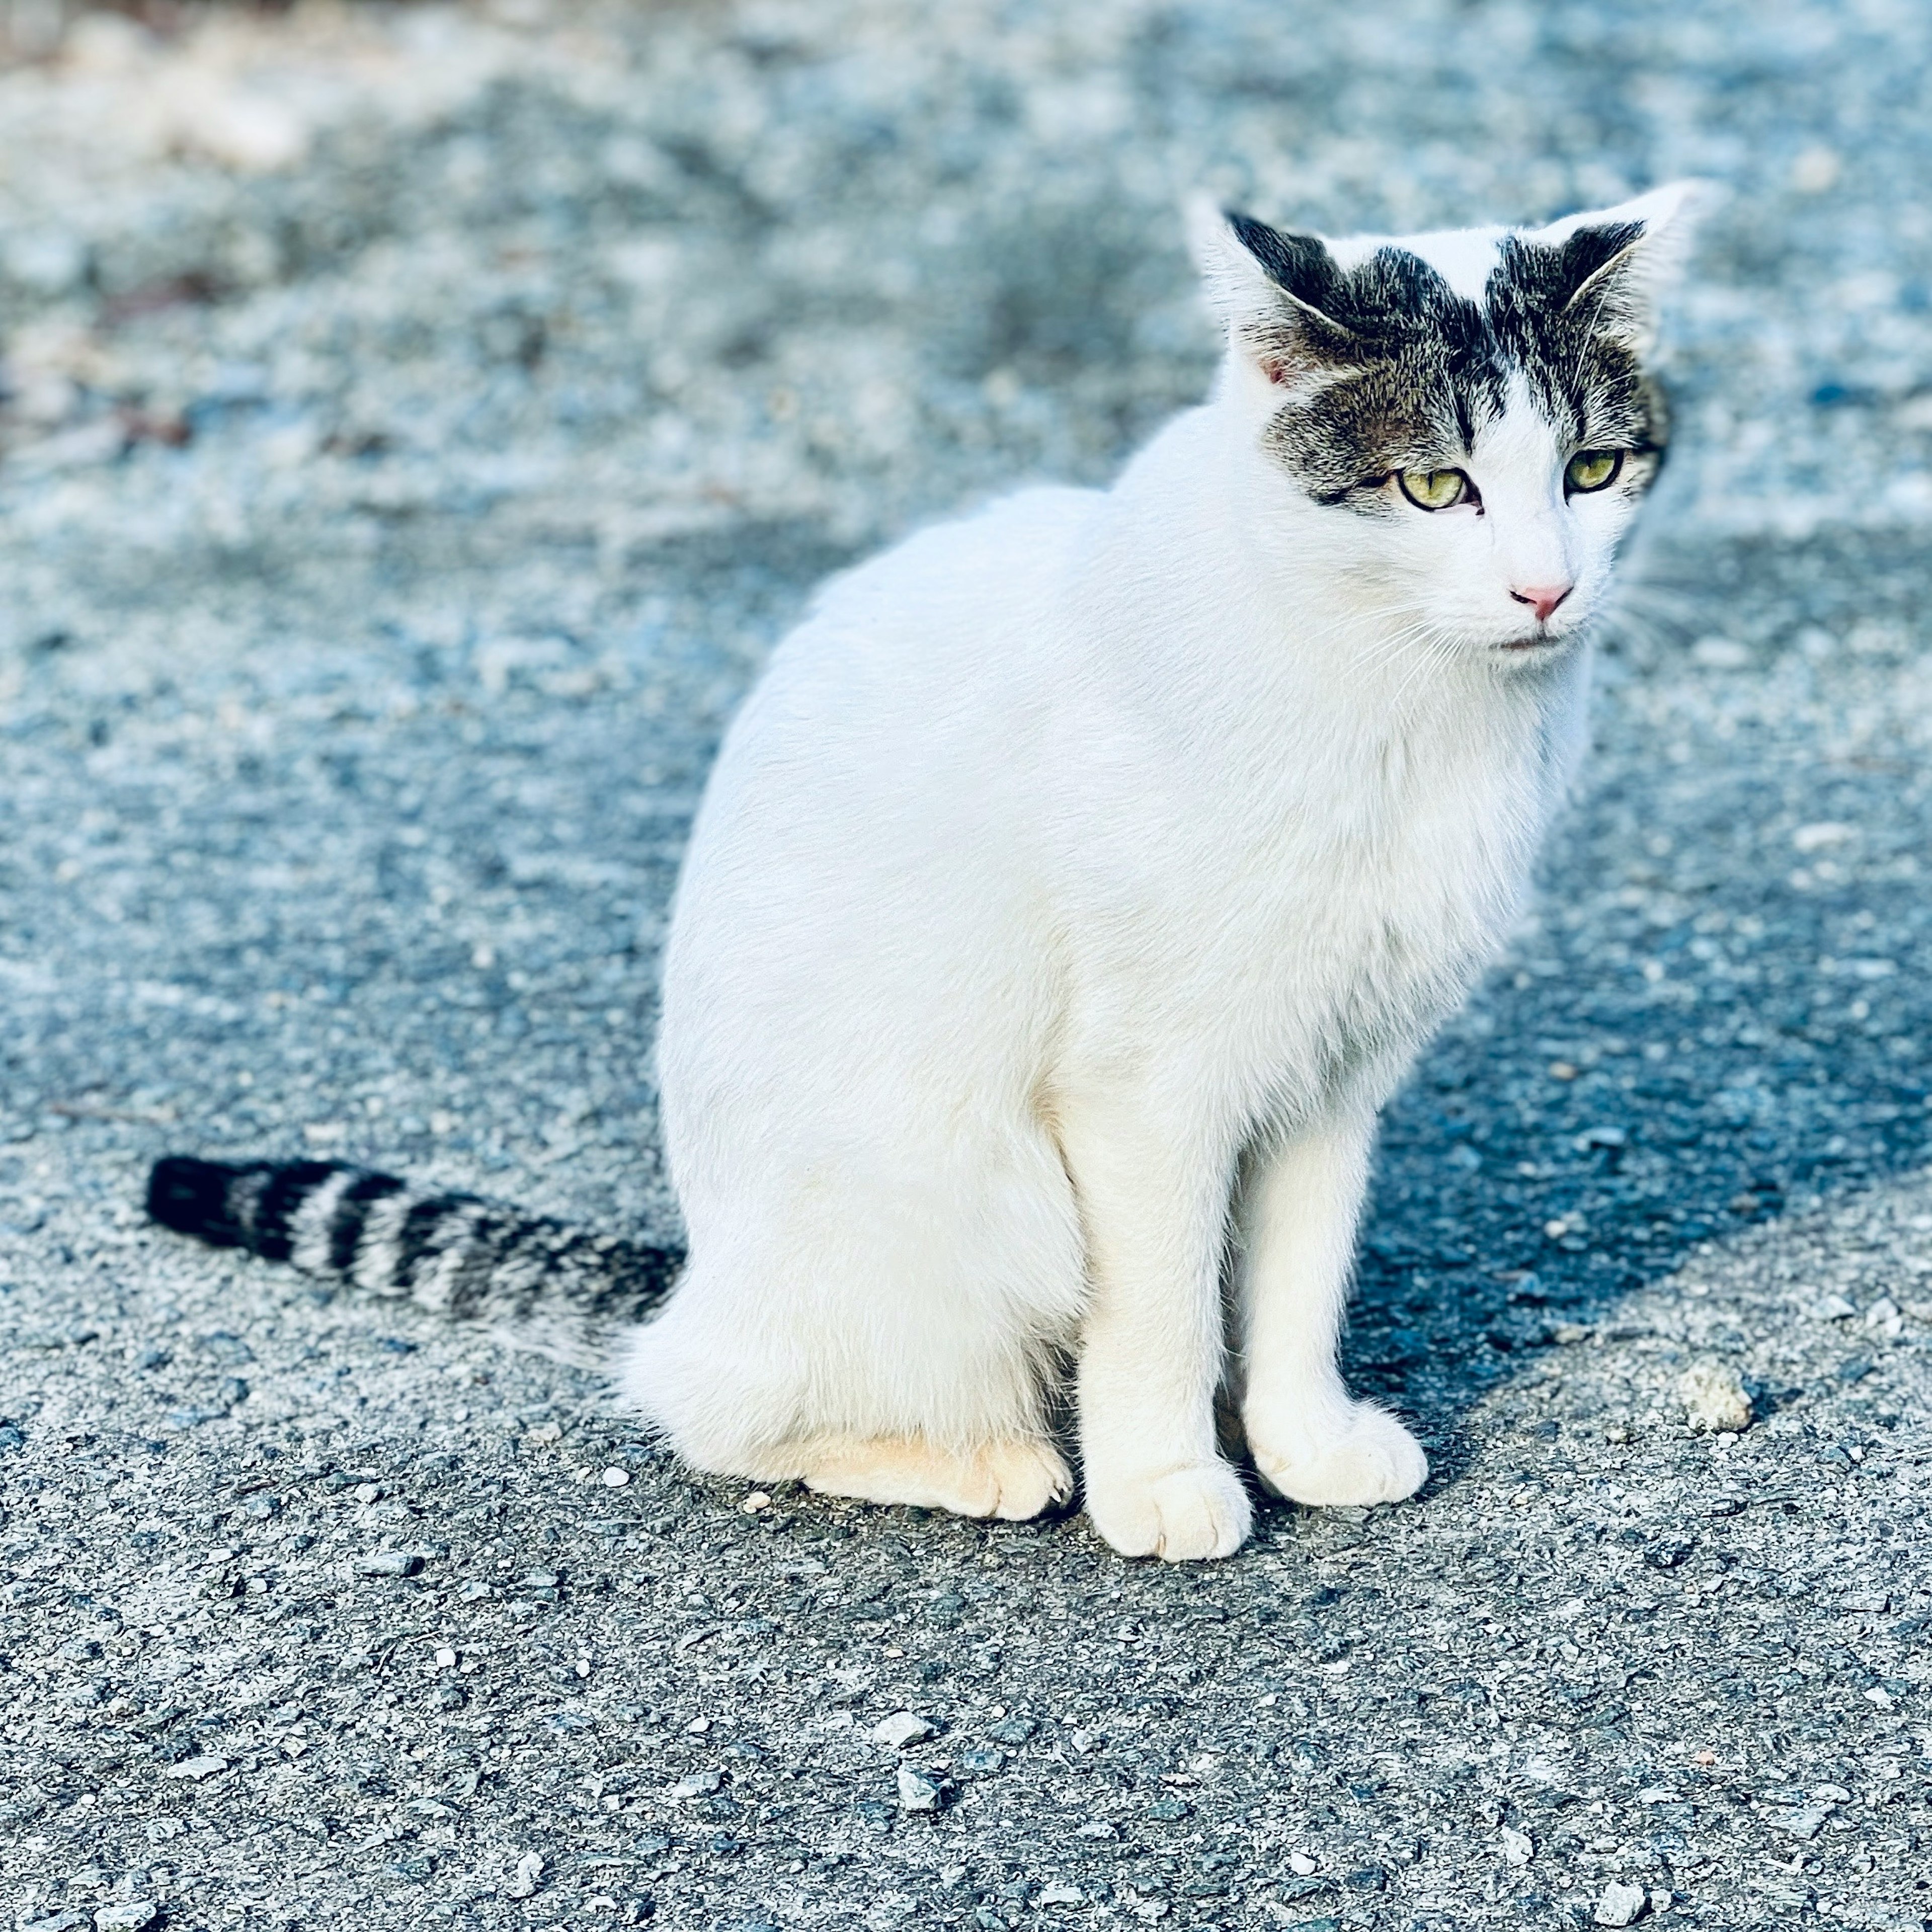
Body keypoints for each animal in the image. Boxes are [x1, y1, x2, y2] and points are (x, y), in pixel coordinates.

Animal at [150, 188, 1700, 1561]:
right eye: (1436, 485)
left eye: (1590, 472)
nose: (1547, 590)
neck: (1400, 699)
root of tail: (701, 1273)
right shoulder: (1145, 1085)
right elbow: (1159, 1306)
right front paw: (1164, 1483)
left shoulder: (1336, 1068)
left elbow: (1299, 1280)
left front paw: (1300, 1440)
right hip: (966, 1199)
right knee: (708, 1406)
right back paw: (984, 1461)